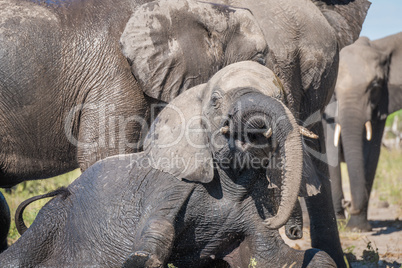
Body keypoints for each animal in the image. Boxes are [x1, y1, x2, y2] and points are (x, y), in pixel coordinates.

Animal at [0, 61, 332, 268]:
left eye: (281, 97)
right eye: (215, 101)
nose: (291, 229)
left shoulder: (252, 205)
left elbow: (283, 257)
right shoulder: (169, 186)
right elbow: (149, 251)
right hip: (50, 222)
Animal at [324, 32, 402, 231]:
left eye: (374, 87)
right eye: (333, 91)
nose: (348, 204)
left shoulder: (382, 105)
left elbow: (371, 152)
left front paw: (358, 228)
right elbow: (329, 151)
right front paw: (340, 223)